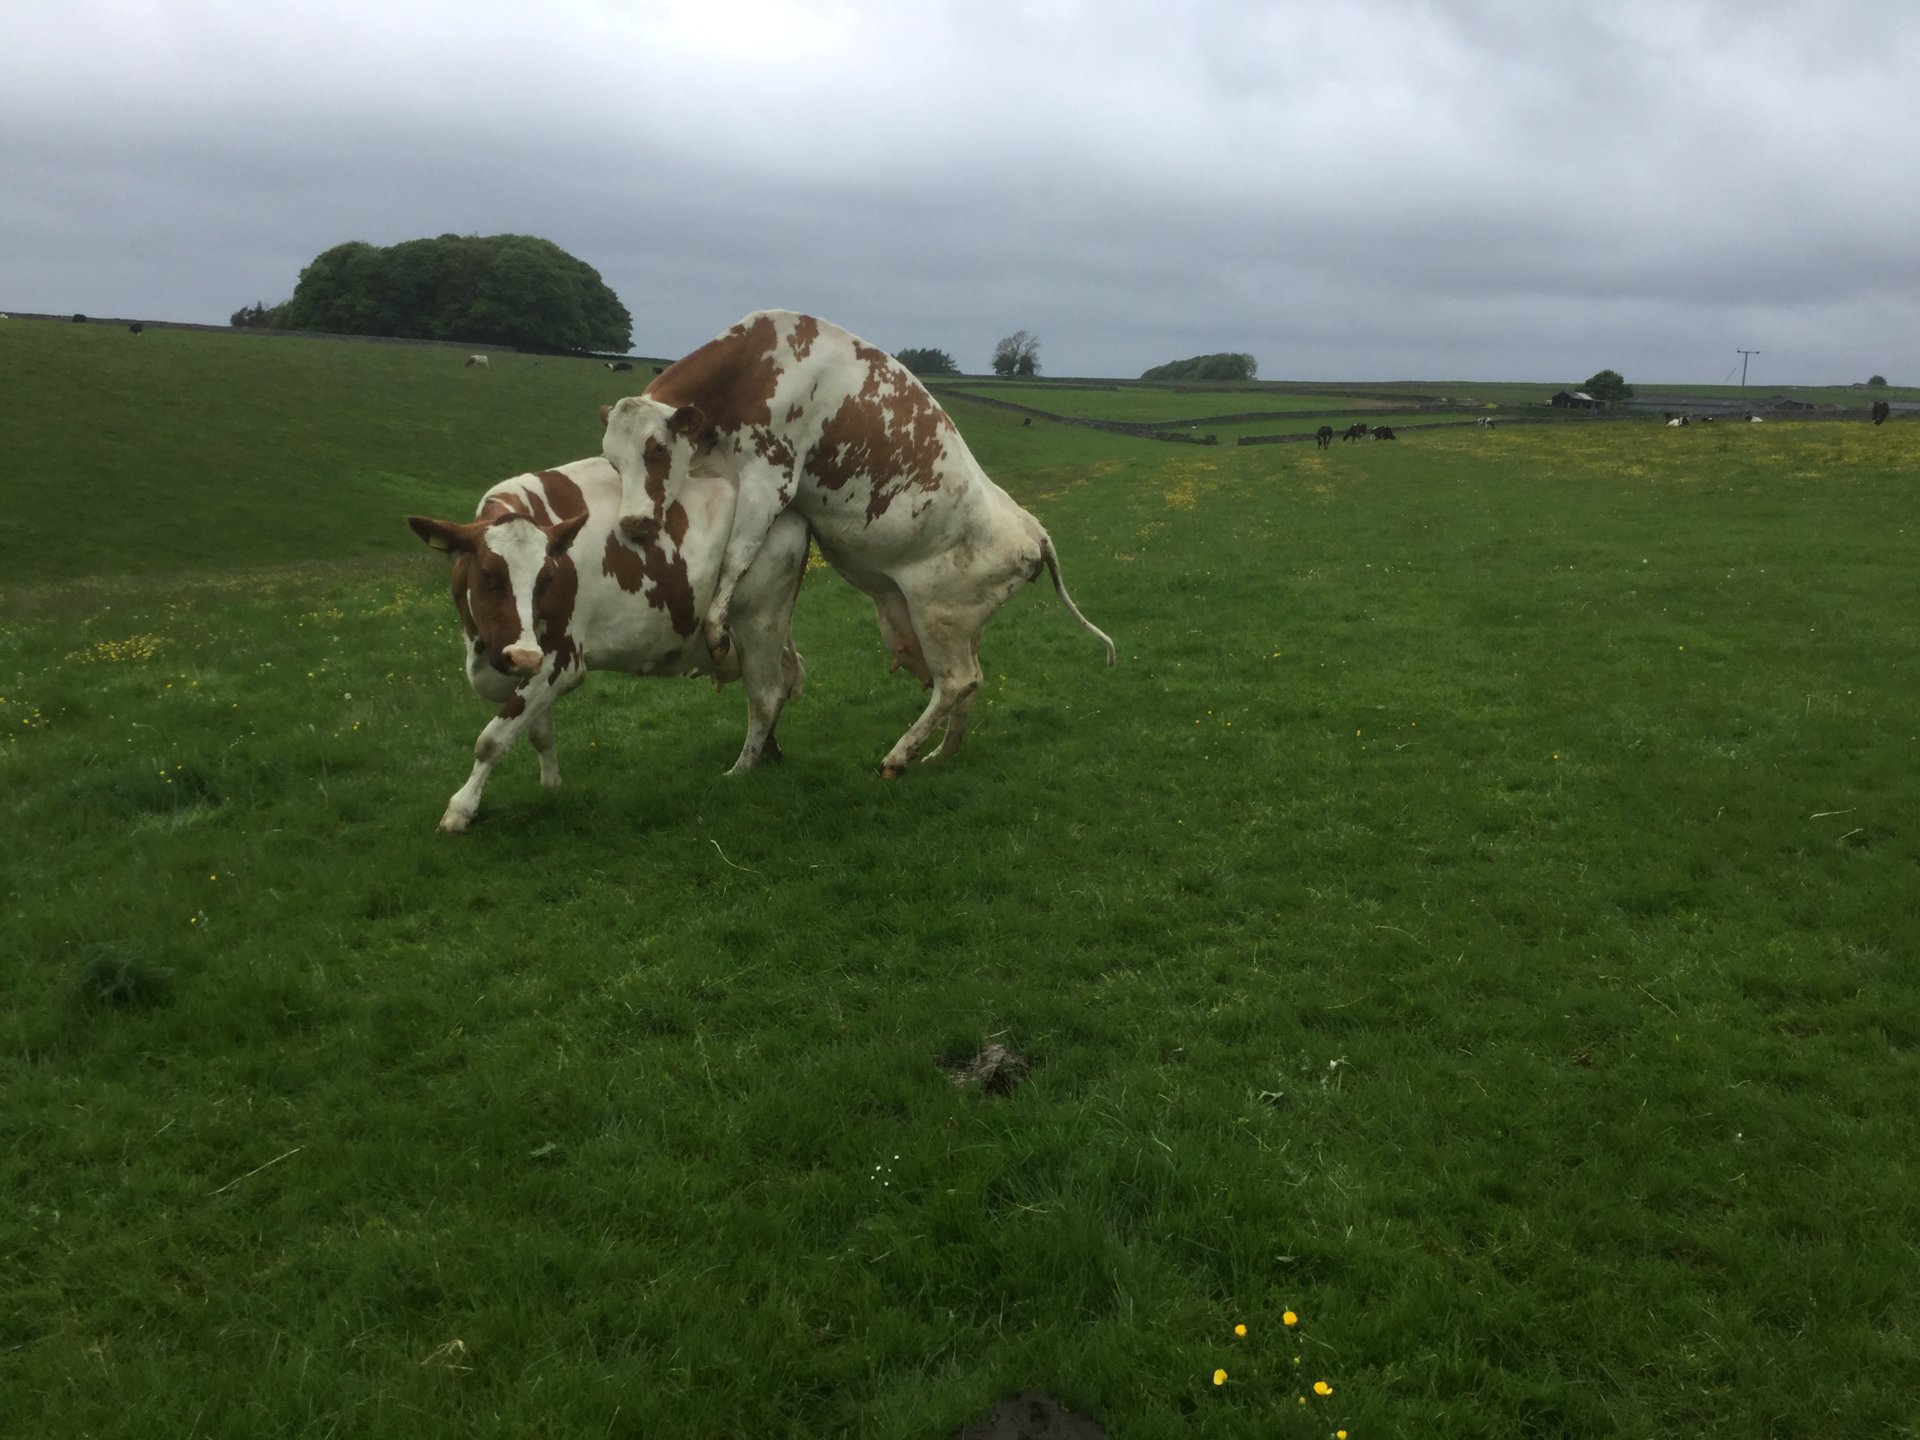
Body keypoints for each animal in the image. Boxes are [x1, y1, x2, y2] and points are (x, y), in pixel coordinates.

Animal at [407, 457, 809, 832]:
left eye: (547, 579)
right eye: (488, 574)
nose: (521, 655)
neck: (480, 647)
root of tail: (791, 512)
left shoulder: (560, 660)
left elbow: (492, 739)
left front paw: (460, 810)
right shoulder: (534, 665)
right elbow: (539, 733)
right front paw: (551, 787)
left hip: (759, 619)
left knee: (764, 697)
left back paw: (741, 768)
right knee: (787, 674)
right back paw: (768, 753)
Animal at [601, 310, 1115, 779]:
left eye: (656, 449)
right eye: (610, 459)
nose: (634, 522)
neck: (753, 368)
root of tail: (1032, 529)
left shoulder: (771, 477)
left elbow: (736, 554)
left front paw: (715, 627)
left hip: (939, 614)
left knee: (957, 683)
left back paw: (899, 756)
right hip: (960, 623)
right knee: (971, 685)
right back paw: (942, 754)